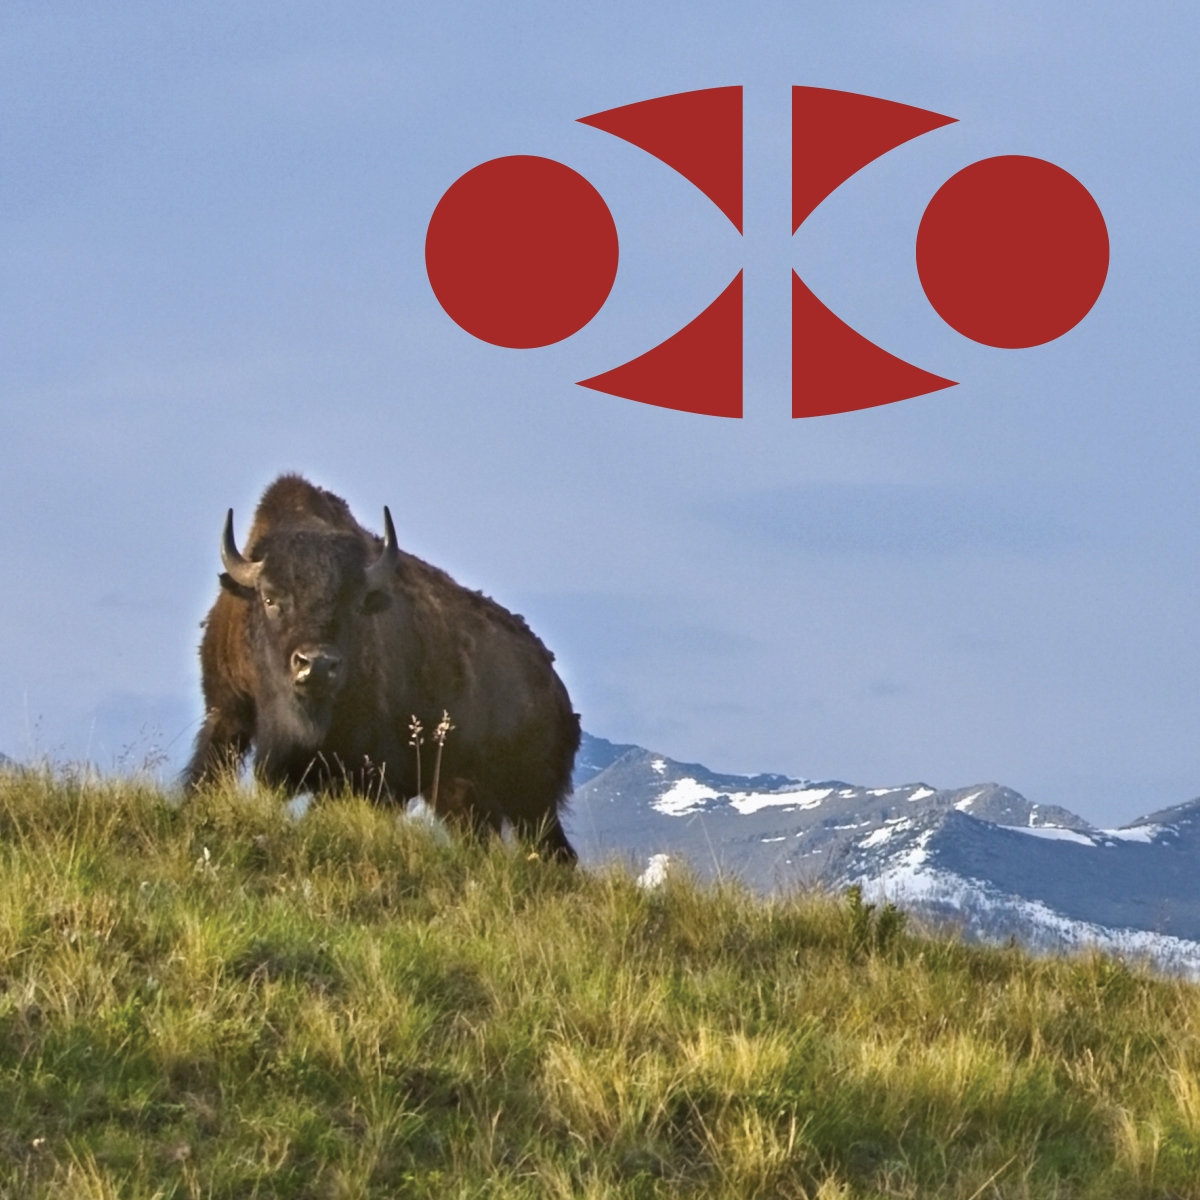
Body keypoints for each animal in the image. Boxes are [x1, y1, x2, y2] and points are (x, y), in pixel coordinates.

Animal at [184, 474, 580, 861]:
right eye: (269, 598)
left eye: (356, 603)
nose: (316, 665)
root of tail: (554, 682)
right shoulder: (226, 712)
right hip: (461, 793)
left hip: (529, 797)